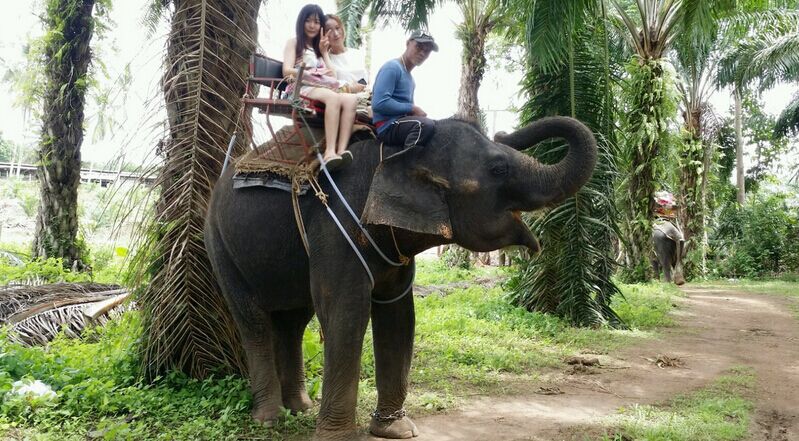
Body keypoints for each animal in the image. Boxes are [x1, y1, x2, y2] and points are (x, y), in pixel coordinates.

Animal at [204, 116, 597, 440]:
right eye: (498, 169)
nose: (503, 131)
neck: (399, 151)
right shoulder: (336, 227)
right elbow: (346, 313)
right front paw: (337, 437)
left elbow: (398, 316)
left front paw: (396, 430)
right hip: (219, 243)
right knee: (253, 320)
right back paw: (269, 419)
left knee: (293, 321)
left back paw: (300, 409)